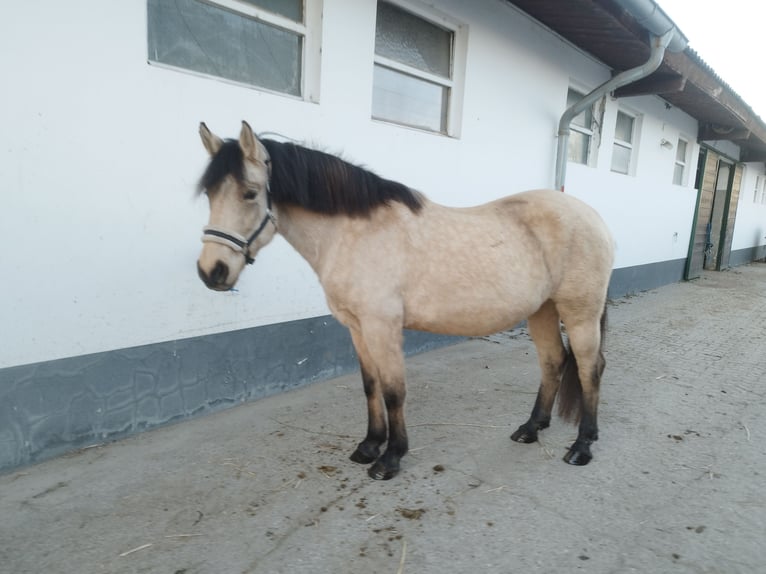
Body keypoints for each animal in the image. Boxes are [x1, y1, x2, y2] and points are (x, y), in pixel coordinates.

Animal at [195, 121, 614, 480]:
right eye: (210, 194)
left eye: (250, 194)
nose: (211, 271)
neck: (354, 233)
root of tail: (594, 217)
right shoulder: (357, 328)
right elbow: (371, 385)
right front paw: (368, 446)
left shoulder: (382, 327)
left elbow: (393, 390)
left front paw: (391, 458)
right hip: (542, 311)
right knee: (553, 361)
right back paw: (531, 428)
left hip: (580, 313)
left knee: (589, 368)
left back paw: (582, 446)